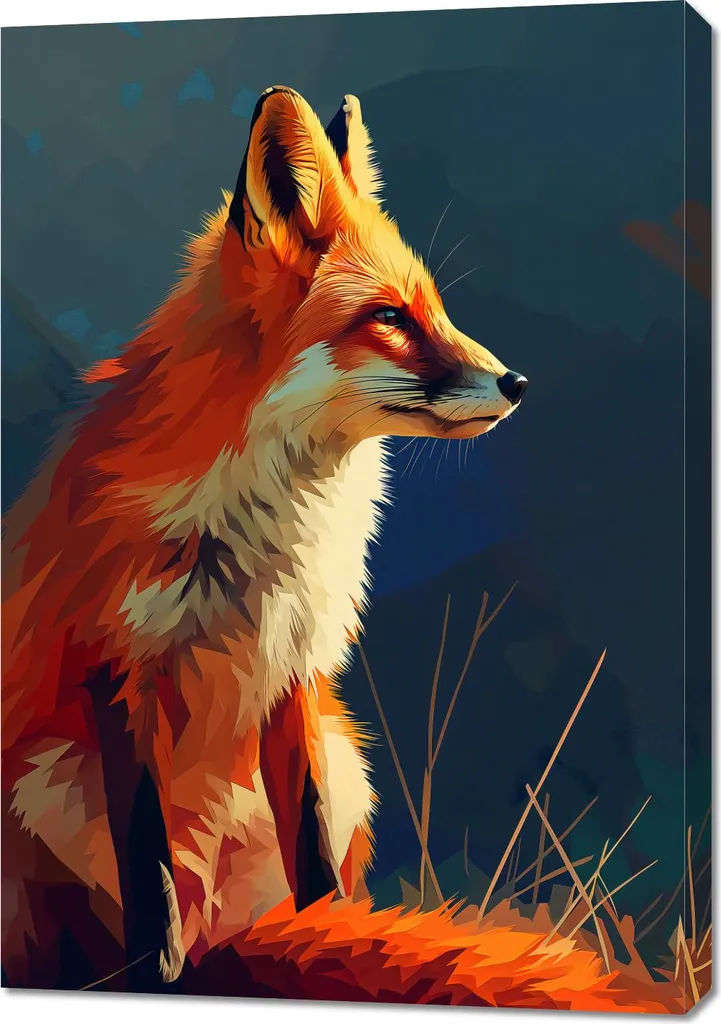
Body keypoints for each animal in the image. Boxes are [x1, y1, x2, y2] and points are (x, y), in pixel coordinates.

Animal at [0, 86, 536, 995]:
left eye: (435, 310)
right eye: (389, 319)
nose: (517, 382)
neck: (265, 528)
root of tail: (223, 926)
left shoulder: (295, 664)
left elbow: (311, 848)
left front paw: (334, 937)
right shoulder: (117, 664)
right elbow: (146, 863)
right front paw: (153, 976)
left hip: (344, 751)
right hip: (48, 779)